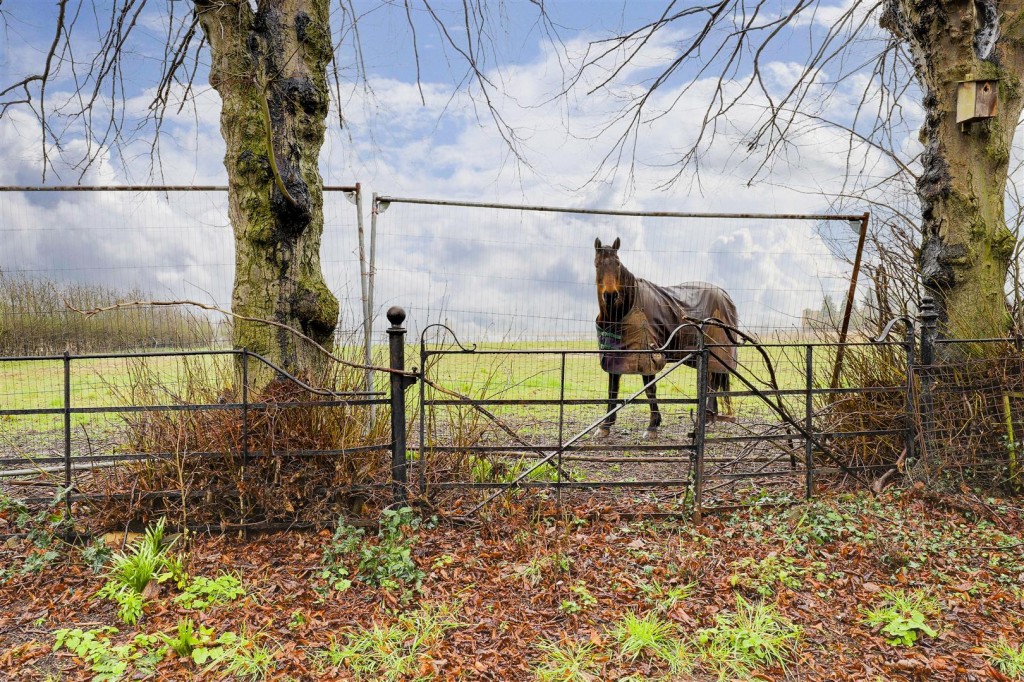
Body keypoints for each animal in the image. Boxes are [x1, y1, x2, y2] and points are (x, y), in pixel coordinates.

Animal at [593, 236, 737, 438]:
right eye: (597, 264)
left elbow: (650, 390)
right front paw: (605, 426)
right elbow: (612, 389)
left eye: (617, 263)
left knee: (713, 382)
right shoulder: (615, 355)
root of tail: (724, 294)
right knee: (712, 381)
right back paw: (709, 417)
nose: (611, 295)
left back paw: (708, 417)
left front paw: (652, 426)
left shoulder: (648, 356)